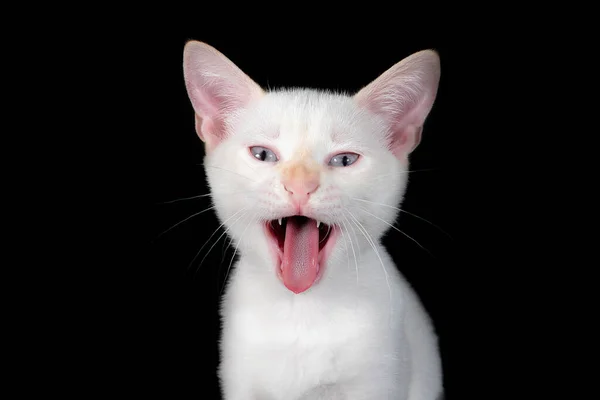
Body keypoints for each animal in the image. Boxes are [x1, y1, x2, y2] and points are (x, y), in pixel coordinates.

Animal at [182, 40, 440, 400]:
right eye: (263, 155)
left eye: (344, 160)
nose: (300, 185)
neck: (301, 310)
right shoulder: (240, 380)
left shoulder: (381, 377)